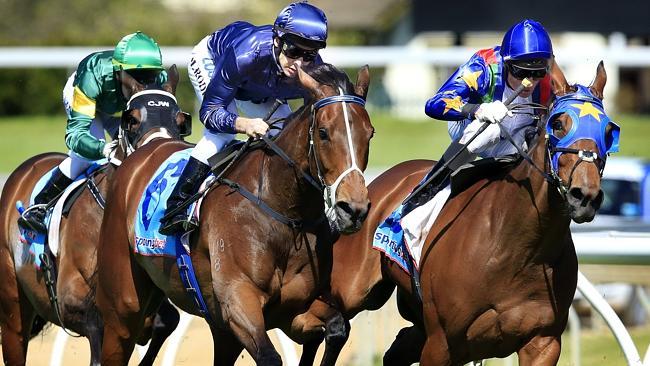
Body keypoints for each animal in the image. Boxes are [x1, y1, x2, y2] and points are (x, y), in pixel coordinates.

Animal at [93, 64, 372, 364]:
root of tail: (144, 150)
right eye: (323, 132)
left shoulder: (294, 310)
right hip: (121, 310)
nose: (354, 209)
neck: (283, 210)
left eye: (370, 133)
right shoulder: (238, 301)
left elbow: (337, 329)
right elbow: (270, 356)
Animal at [298, 61, 616, 364]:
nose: (584, 196)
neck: (520, 249)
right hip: (348, 289)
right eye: (559, 123)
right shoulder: (442, 342)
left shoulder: (543, 343)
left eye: (610, 131)